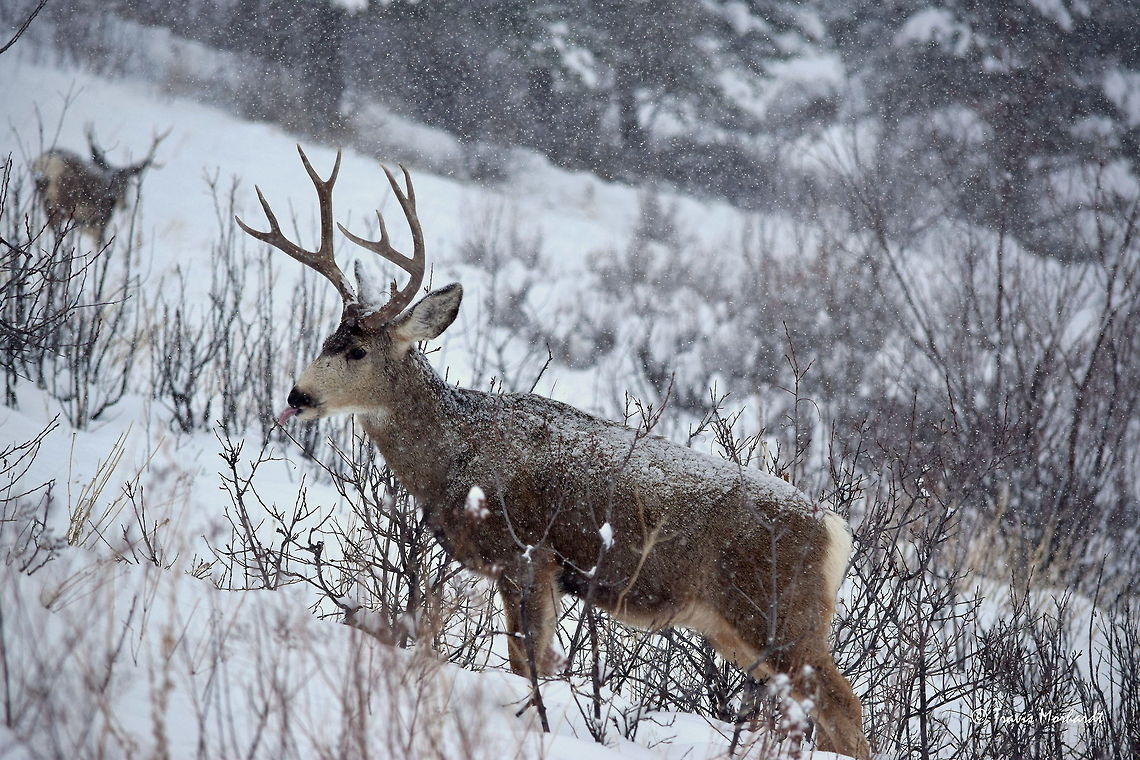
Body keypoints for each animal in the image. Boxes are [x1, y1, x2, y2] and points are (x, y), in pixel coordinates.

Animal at [32, 126, 168, 245]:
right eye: (125, 185)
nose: (125, 206)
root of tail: (50, 163)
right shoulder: (99, 223)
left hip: (45, 200)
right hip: (62, 205)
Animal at [239, 147, 871, 760]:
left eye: (357, 352)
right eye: (326, 340)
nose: (297, 396)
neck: (456, 454)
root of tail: (836, 532)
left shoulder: (524, 553)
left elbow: (528, 663)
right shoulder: (538, 570)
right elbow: (539, 662)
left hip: (778, 613)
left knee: (844, 705)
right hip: (739, 626)